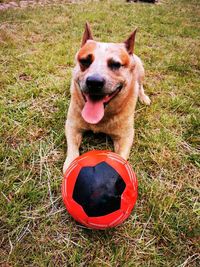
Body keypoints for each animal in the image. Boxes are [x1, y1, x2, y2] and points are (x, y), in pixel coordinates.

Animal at [62, 22, 150, 174]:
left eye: (116, 64)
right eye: (85, 61)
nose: (94, 82)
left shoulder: (126, 136)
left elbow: (121, 158)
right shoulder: (72, 126)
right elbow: (72, 150)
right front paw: (71, 165)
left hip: (141, 69)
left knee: (140, 85)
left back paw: (143, 97)